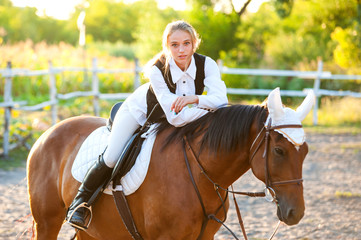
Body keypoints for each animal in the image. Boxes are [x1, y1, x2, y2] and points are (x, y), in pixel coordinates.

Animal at [27, 89, 312, 239]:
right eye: (278, 150)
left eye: (305, 152)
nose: (295, 213)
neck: (199, 172)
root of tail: (45, 134)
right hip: (47, 222)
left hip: (93, 231)